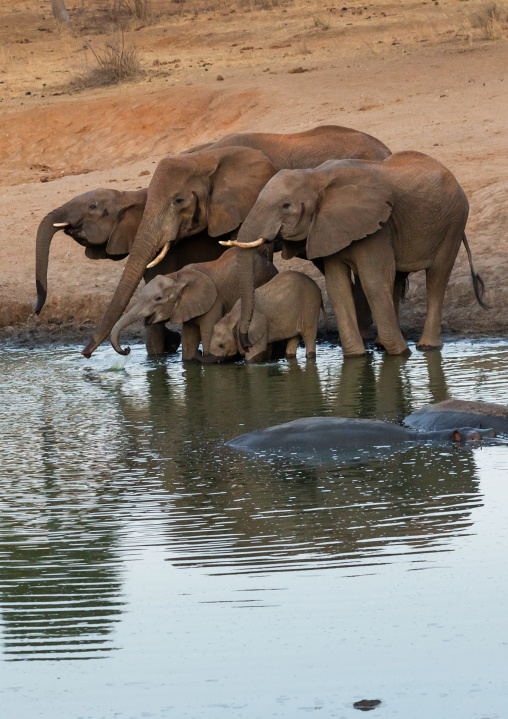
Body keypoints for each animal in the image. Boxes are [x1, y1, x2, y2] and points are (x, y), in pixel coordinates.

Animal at [110, 247, 278, 360]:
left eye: (158, 299)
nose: (127, 349)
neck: (177, 276)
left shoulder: (214, 302)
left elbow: (208, 333)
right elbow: (188, 343)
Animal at [224, 151, 487, 358]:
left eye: (286, 206)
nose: (246, 343)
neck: (315, 176)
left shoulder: (377, 226)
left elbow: (372, 282)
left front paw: (402, 354)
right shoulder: (328, 227)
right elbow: (337, 286)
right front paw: (357, 356)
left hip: (454, 221)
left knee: (437, 278)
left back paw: (426, 348)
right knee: (397, 278)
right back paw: (381, 345)